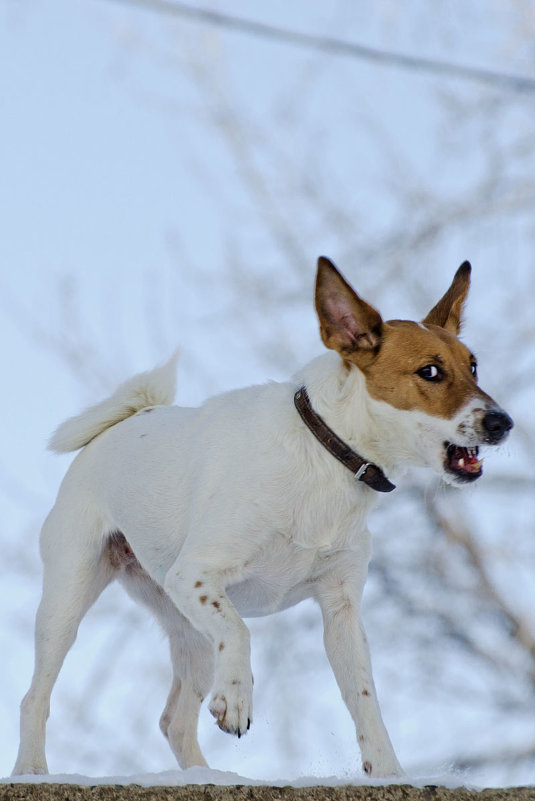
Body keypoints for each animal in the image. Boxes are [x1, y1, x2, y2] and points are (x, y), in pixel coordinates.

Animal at [12, 256, 512, 776]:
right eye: (429, 372)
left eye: (473, 365)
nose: (504, 423)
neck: (327, 454)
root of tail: (127, 419)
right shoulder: (196, 575)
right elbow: (239, 629)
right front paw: (236, 698)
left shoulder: (341, 610)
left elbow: (365, 700)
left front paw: (388, 773)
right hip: (69, 596)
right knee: (35, 698)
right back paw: (31, 770)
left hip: (186, 625)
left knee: (174, 720)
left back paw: (209, 778)